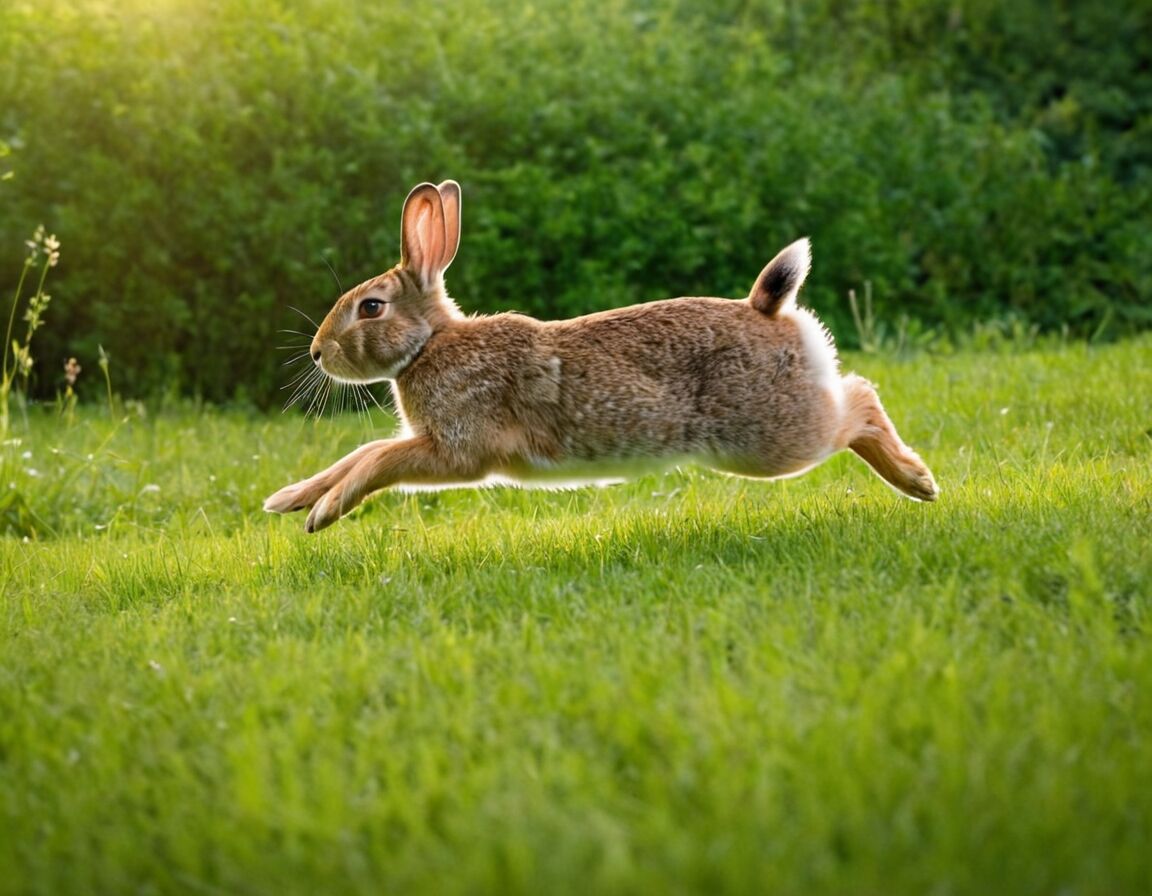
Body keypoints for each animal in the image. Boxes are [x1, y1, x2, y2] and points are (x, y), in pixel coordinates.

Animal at [264, 179, 938, 532]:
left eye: (371, 307)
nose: (318, 353)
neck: (429, 345)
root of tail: (770, 312)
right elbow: (360, 453)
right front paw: (290, 499)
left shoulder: (456, 451)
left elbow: (380, 461)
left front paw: (321, 515)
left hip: (768, 438)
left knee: (859, 402)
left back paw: (918, 480)